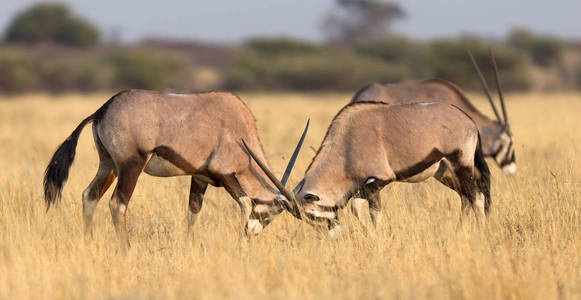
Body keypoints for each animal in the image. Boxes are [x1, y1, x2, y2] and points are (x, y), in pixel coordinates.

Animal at [44, 90, 308, 245]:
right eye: (269, 214)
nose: (252, 235)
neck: (237, 126)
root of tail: (102, 109)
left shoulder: (200, 177)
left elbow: (193, 212)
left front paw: (189, 246)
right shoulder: (226, 175)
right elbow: (244, 202)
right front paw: (240, 245)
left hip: (108, 165)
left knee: (89, 195)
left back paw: (87, 242)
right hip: (131, 166)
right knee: (118, 204)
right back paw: (125, 249)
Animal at [242, 101, 492, 237]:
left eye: (312, 216)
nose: (335, 236)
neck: (347, 143)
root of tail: (468, 120)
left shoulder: (378, 179)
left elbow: (356, 206)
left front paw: (372, 239)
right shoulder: (371, 187)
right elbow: (375, 213)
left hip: (461, 163)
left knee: (477, 197)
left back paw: (480, 234)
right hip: (444, 172)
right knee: (465, 198)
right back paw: (460, 232)